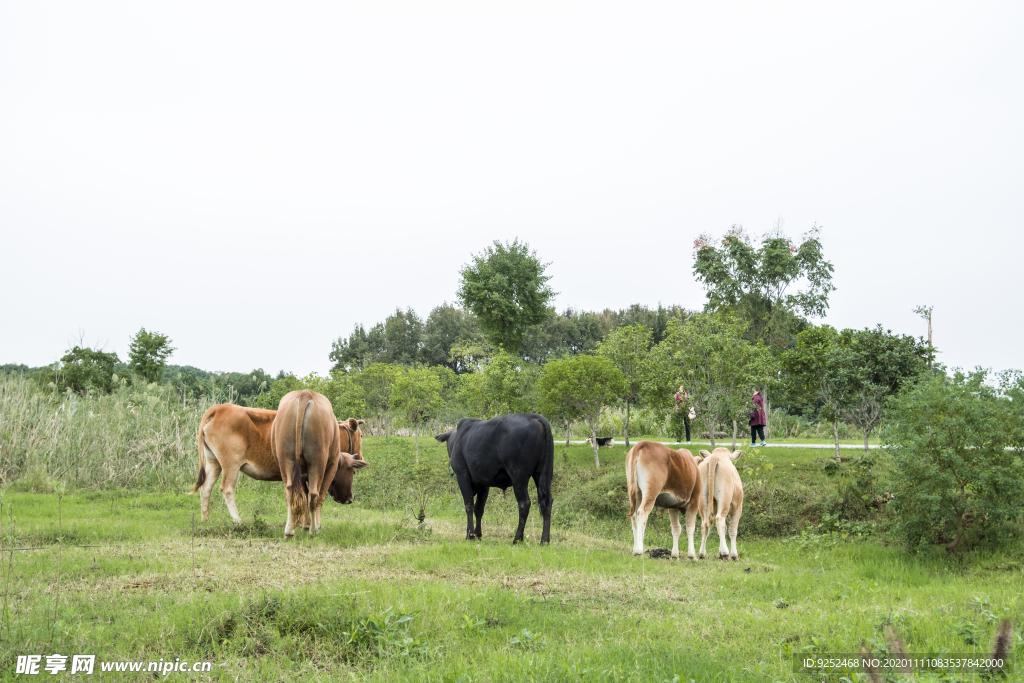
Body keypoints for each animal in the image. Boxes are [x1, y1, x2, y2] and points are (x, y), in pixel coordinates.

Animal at [189, 405, 364, 524]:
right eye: (362, 435)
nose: (351, 498)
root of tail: (221, 408)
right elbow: (312, 498)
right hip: (231, 465)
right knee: (226, 489)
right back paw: (238, 521)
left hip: (213, 462)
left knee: (206, 488)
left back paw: (205, 520)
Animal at [272, 393, 368, 536]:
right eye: (361, 435)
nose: (351, 498)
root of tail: (305, 394)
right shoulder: (331, 466)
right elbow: (320, 496)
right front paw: (316, 524)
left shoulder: (303, 474)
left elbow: (304, 496)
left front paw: (306, 524)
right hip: (317, 463)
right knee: (314, 495)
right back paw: (314, 530)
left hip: (286, 460)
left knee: (289, 493)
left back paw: (289, 530)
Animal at [436, 411, 557, 544]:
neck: (457, 438)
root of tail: (533, 416)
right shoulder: (483, 483)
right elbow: (479, 508)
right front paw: (478, 534)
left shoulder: (462, 476)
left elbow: (469, 506)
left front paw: (470, 535)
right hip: (543, 474)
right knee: (547, 502)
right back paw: (544, 540)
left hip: (518, 477)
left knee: (524, 504)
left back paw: (517, 539)